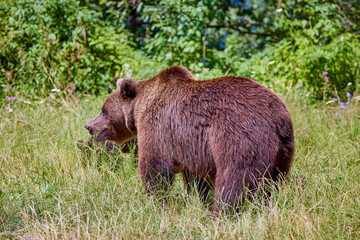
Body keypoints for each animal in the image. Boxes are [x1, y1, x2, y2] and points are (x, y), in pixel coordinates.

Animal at [85, 65, 296, 212]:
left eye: (103, 110)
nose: (88, 125)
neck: (139, 108)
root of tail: (278, 116)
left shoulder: (158, 127)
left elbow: (155, 166)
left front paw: (157, 202)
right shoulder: (191, 148)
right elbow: (196, 180)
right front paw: (195, 200)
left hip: (239, 136)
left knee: (236, 178)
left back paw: (220, 214)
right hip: (283, 150)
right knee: (272, 183)